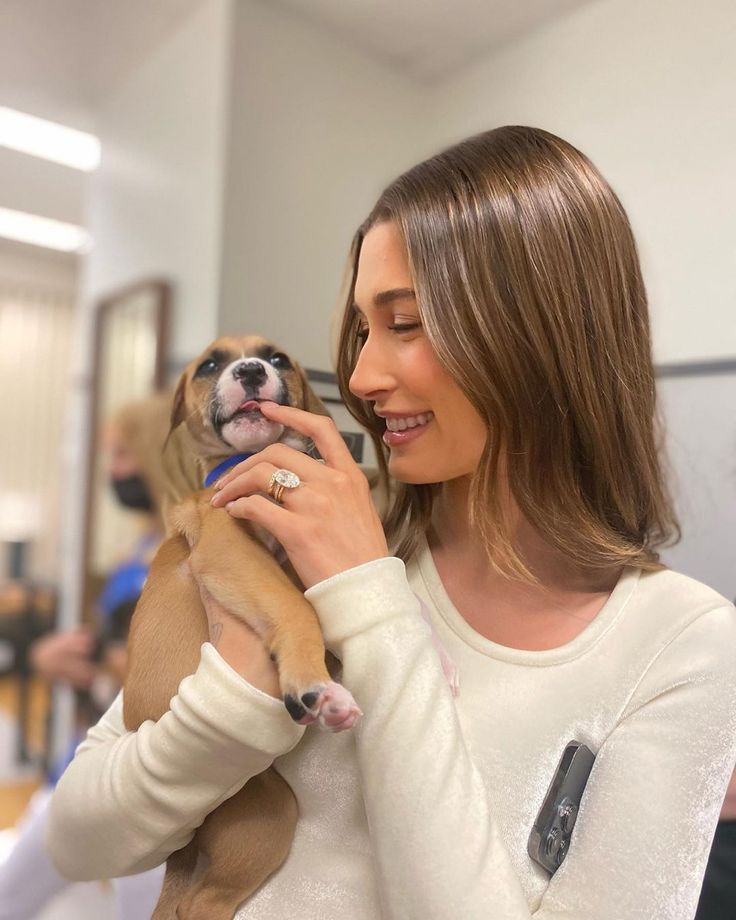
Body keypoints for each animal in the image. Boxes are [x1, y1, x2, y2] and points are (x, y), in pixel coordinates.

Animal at [124, 338, 362, 920]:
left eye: (277, 359)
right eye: (210, 365)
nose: (251, 371)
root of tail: (183, 848)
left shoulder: (302, 554)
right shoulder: (229, 545)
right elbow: (299, 610)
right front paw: (316, 684)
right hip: (267, 819)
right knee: (199, 906)